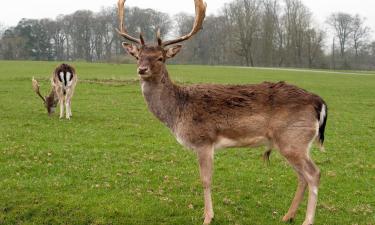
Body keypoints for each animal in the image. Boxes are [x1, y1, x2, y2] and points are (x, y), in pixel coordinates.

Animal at [116, 0, 328, 224]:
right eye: (137, 56)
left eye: (160, 58)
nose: (142, 69)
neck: (178, 112)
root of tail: (319, 102)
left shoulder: (203, 141)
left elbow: (205, 180)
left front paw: (208, 217)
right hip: (291, 143)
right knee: (302, 176)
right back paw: (287, 216)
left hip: (293, 139)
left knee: (314, 173)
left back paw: (307, 220)